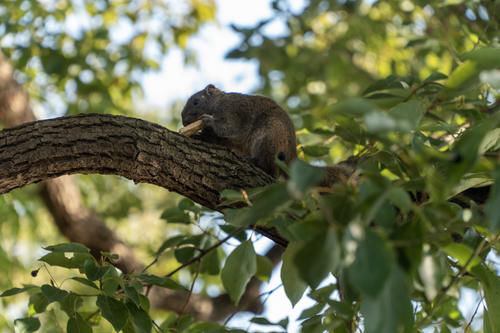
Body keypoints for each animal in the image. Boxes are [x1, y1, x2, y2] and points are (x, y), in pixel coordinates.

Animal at [182, 84, 354, 184]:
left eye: (196, 101)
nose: (184, 121)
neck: (218, 103)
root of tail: (292, 157)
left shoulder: (234, 111)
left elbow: (228, 128)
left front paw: (208, 122)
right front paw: (201, 135)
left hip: (269, 136)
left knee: (268, 167)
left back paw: (253, 161)